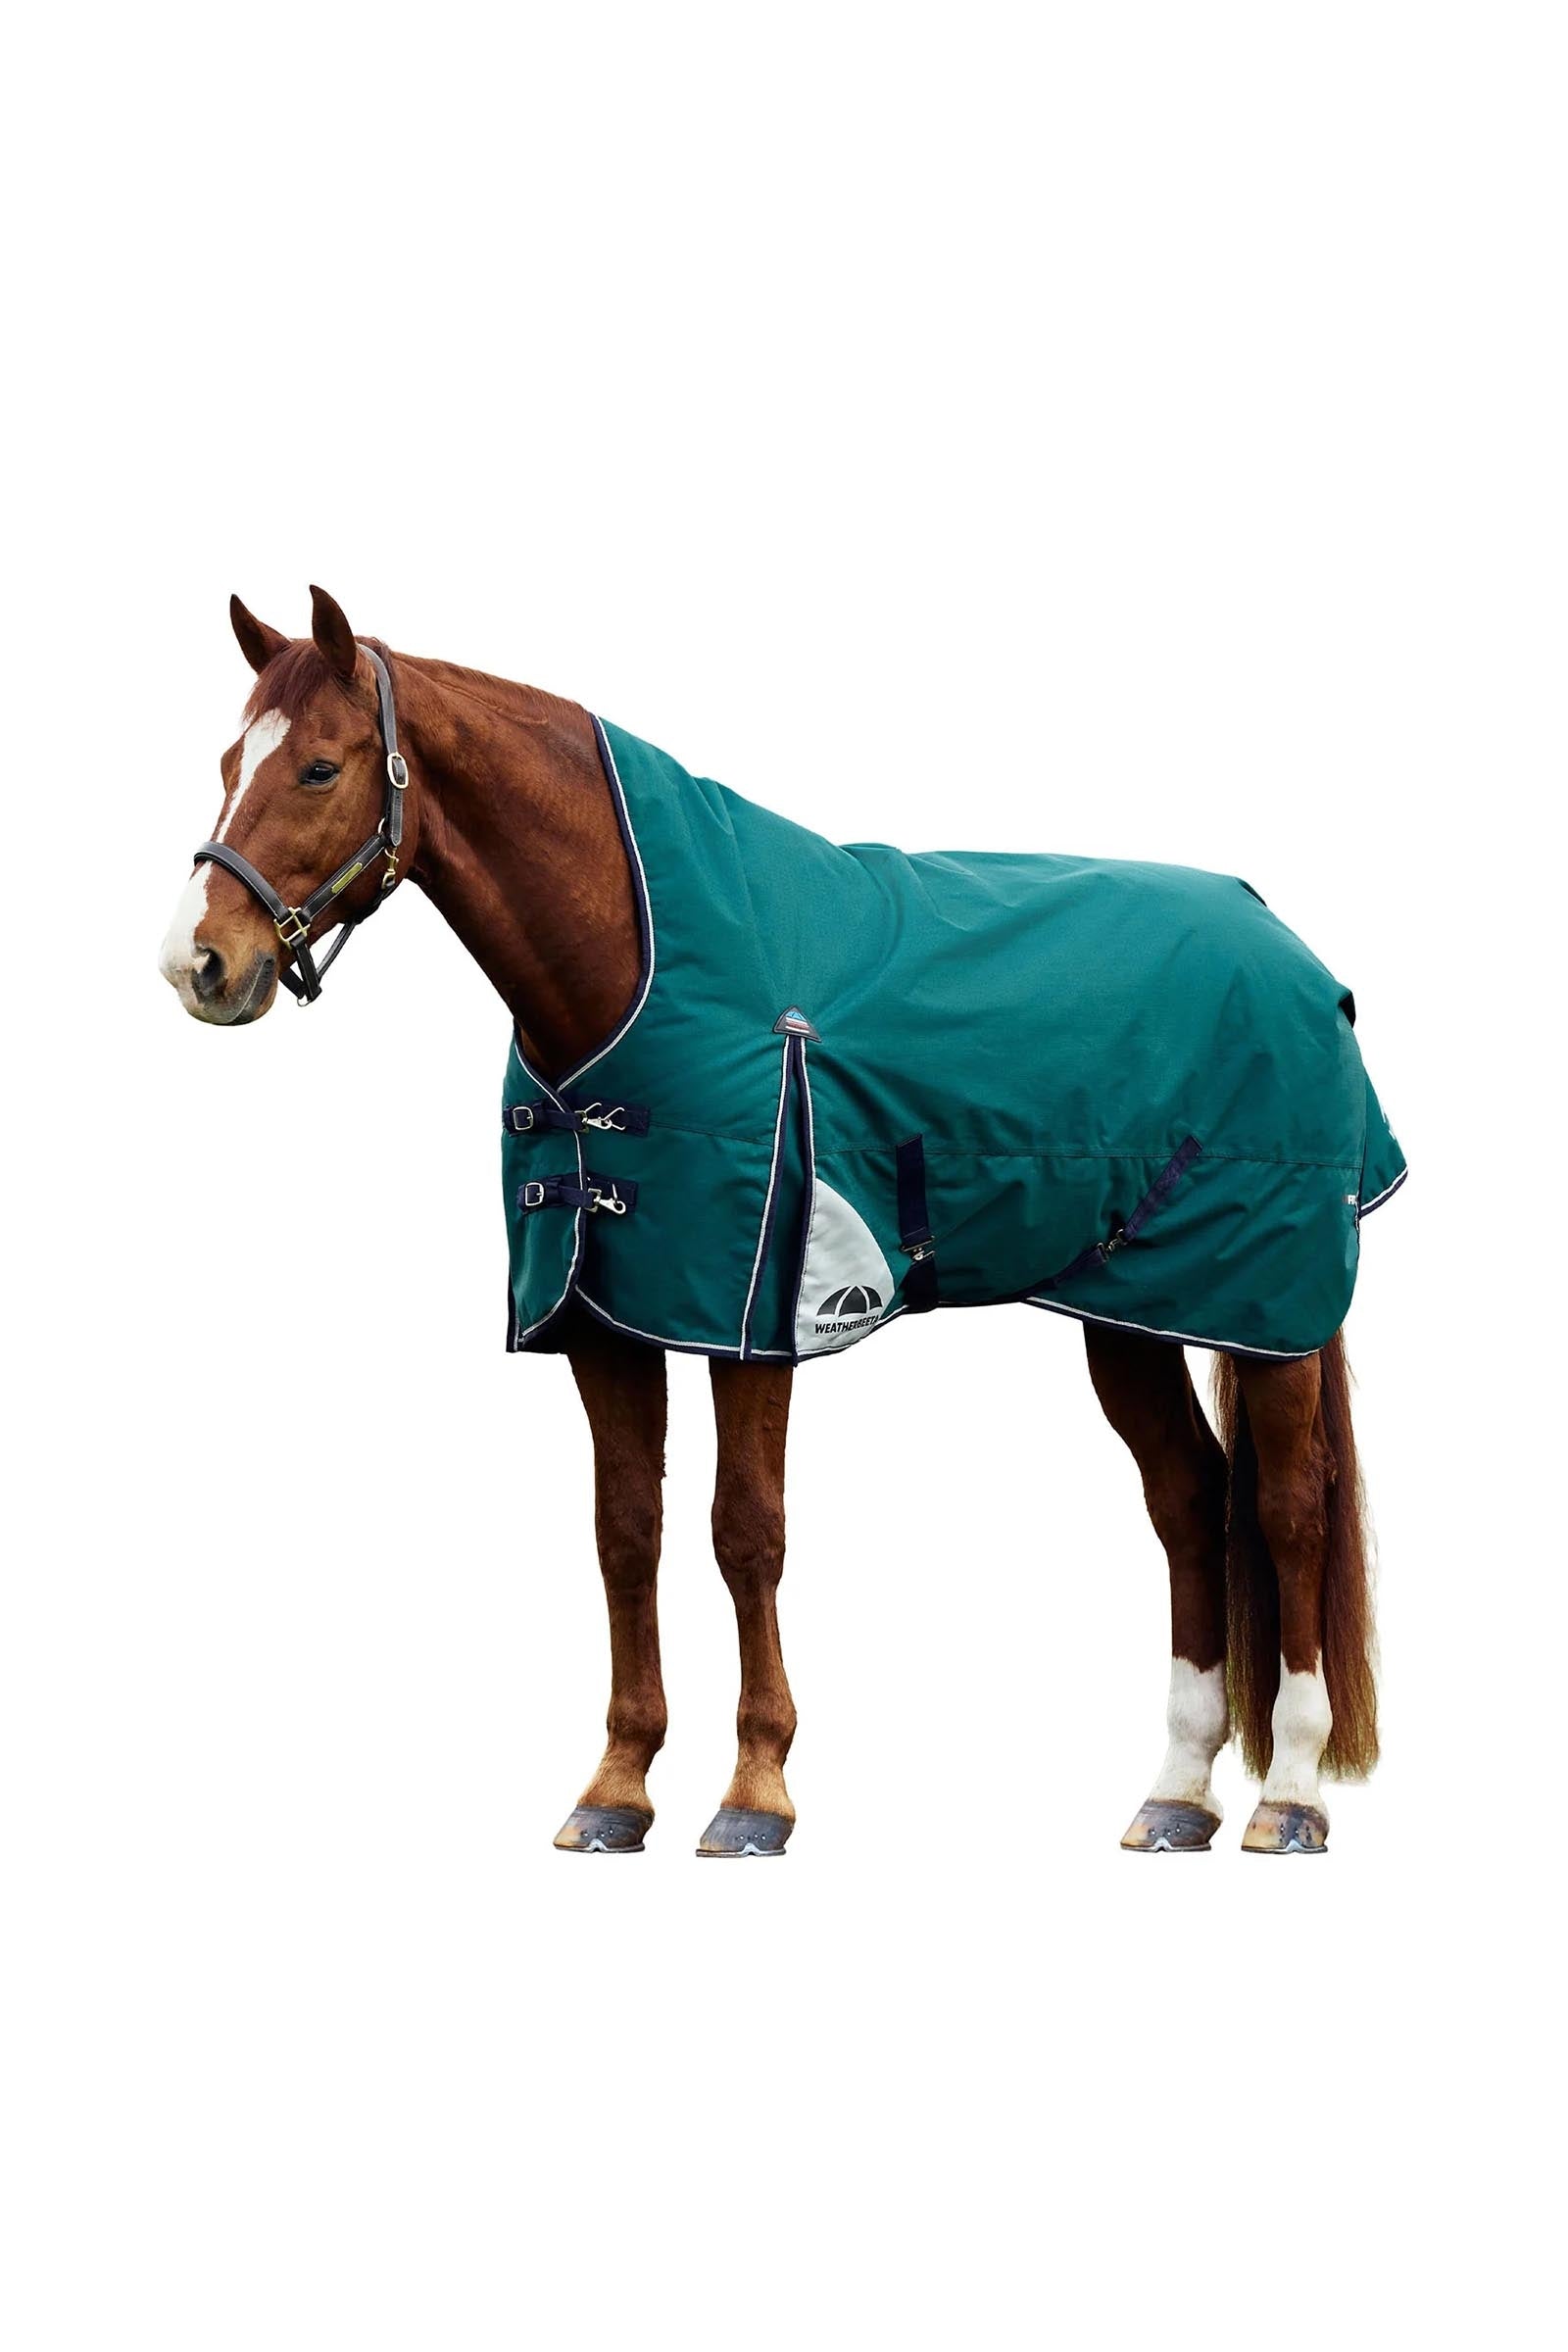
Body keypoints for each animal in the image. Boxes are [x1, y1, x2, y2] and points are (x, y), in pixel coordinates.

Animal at [160, 585, 1396, 1858]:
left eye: (317, 767)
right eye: (226, 762)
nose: (199, 964)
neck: (637, 960)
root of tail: (1288, 946)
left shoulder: (753, 1314)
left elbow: (744, 1531)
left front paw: (754, 1792)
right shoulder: (605, 1319)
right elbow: (626, 1533)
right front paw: (616, 1788)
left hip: (1271, 1308)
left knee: (1289, 1508)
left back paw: (1290, 1796)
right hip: (1133, 1308)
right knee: (1189, 1501)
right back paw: (1176, 1794)